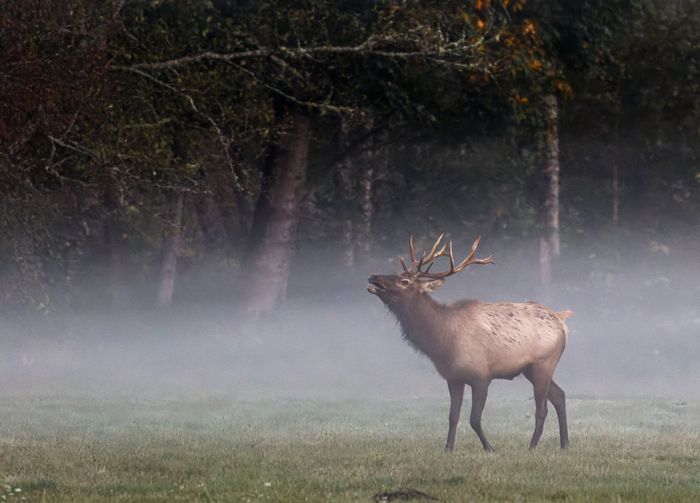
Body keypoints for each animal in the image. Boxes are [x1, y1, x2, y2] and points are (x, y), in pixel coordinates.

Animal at [367, 234, 572, 452]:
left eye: (404, 281)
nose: (372, 277)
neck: (441, 342)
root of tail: (561, 319)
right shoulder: (453, 378)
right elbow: (453, 416)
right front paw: (448, 449)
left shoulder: (481, 376)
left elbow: (474, 419)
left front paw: (490, 448)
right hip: (529, 370)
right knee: (560, 396)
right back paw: (565, 444)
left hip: (544, 363)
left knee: (542, 409)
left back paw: (532, 447)